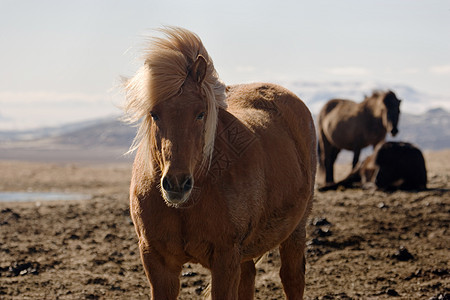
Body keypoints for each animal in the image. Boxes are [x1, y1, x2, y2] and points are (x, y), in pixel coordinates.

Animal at [121, 27, 314, 298]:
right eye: (154, 114)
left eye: (201, 113)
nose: (177, 184)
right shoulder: (157, 261)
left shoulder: (226, 259)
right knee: (248, 279)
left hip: (295, 230)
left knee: (292, 278)